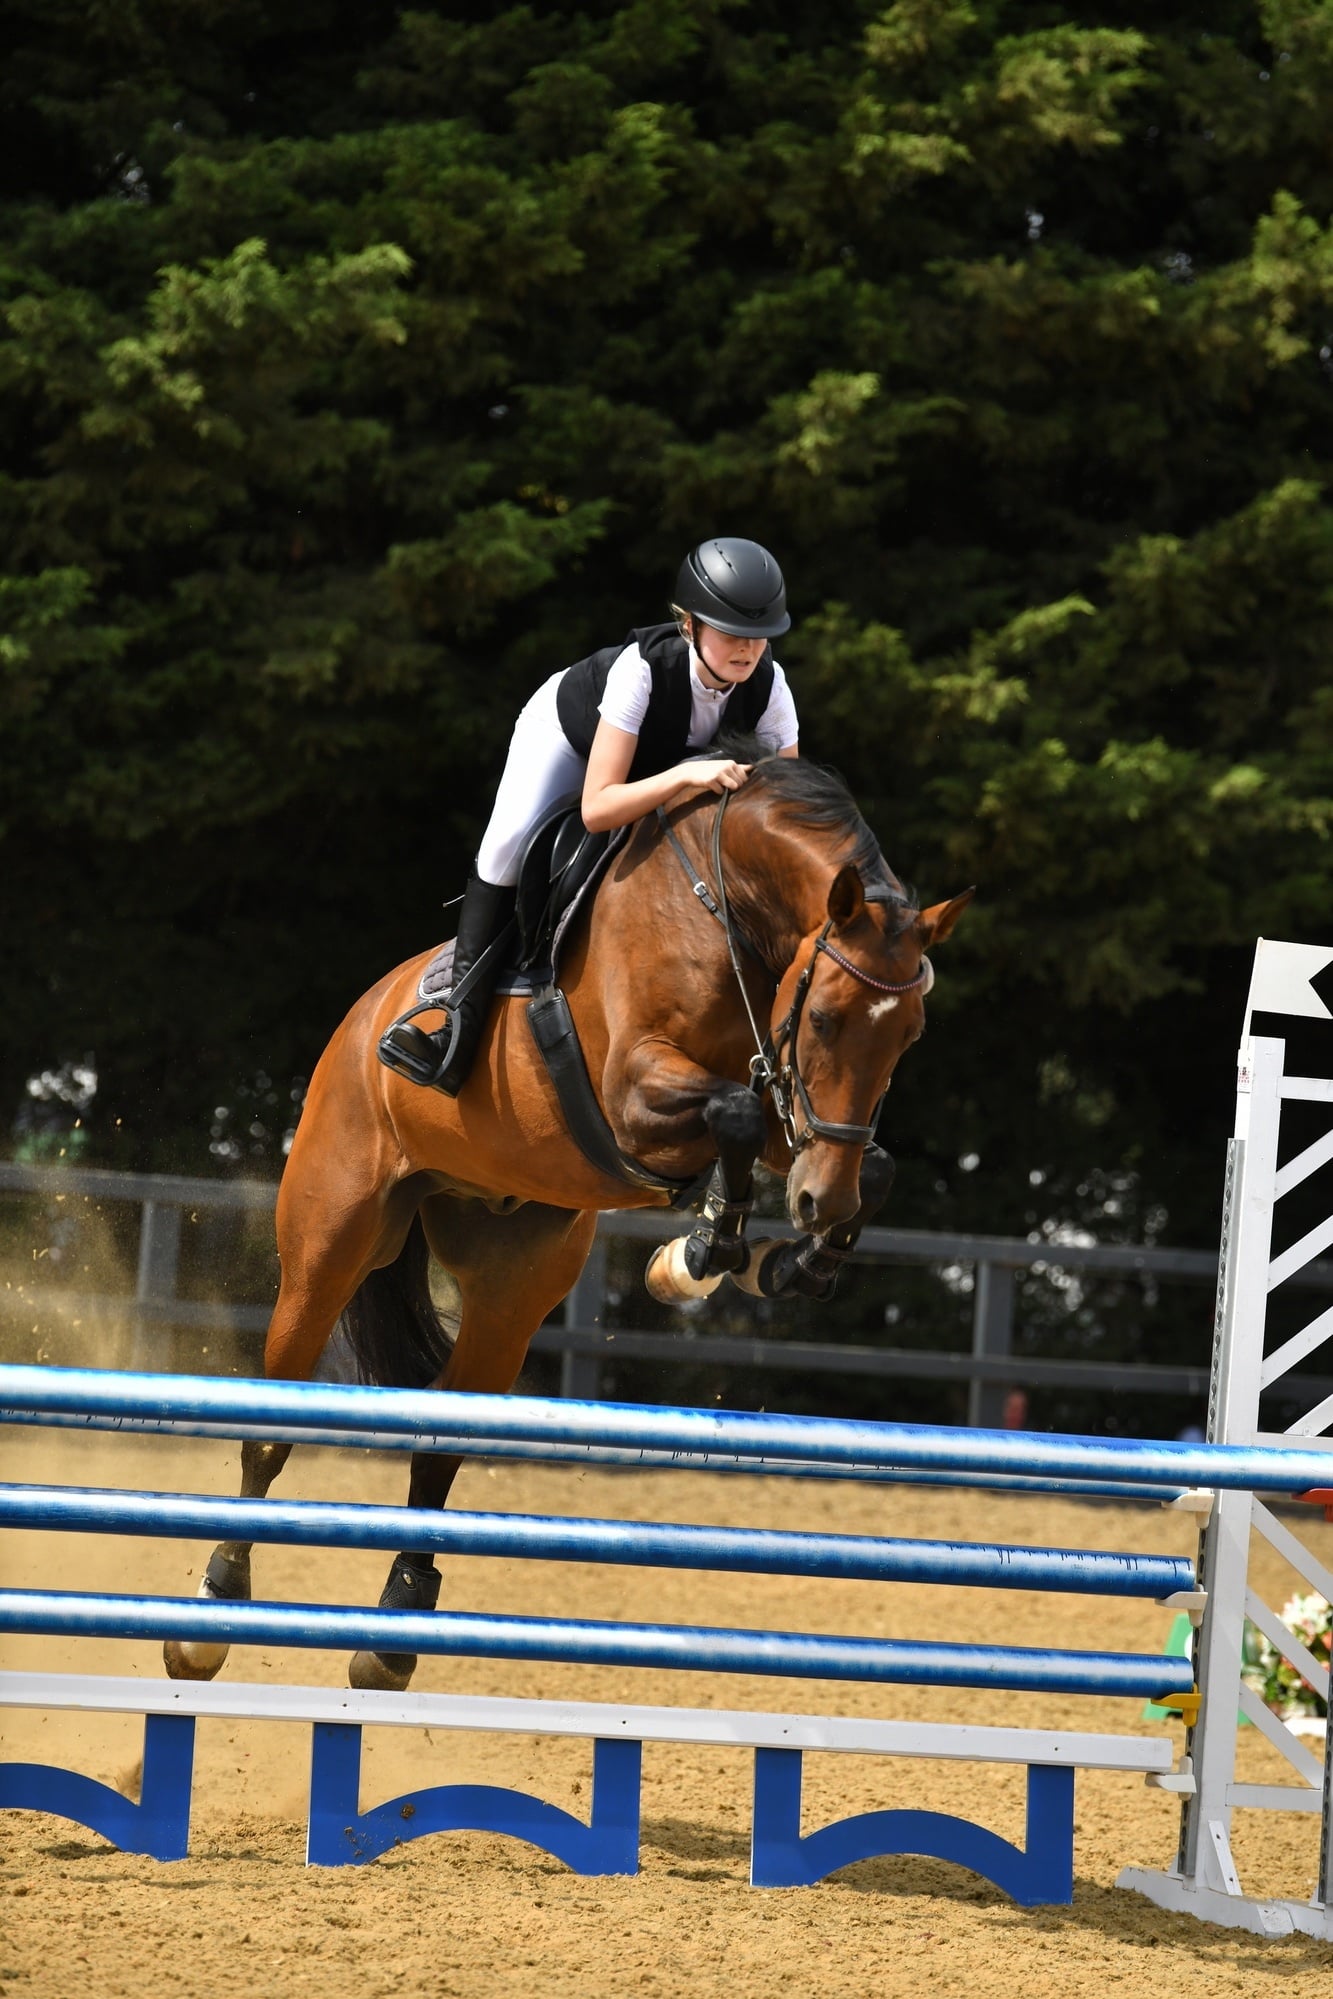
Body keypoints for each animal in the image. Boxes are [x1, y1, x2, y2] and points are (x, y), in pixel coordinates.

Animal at [164, 752, 971, 1691]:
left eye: (908, 1036)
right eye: (825, 1018)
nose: (819, 1202)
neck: (730, 912)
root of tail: (360, 1017)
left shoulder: (787, 1108)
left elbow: (860, 1159)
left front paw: (778, 1259)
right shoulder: (634, 1092)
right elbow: (732, 1112)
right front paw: (703, 1252)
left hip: (511, 1286)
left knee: (442, 1435)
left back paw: (393, 1628)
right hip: (329, 1246)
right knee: (272, 1425)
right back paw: (211, 1611)